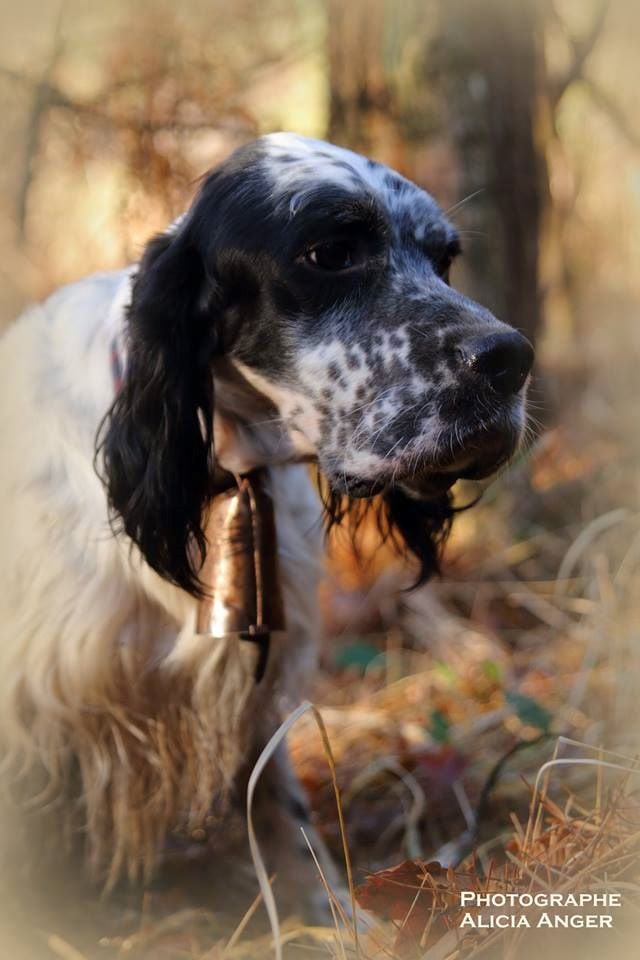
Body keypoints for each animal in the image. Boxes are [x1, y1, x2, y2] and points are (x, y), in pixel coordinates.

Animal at [0, 131, 532, 912]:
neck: (220, 467)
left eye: (443, 260)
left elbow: (278, 801)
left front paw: (329, 912)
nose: (511, 358)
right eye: (330, 253)